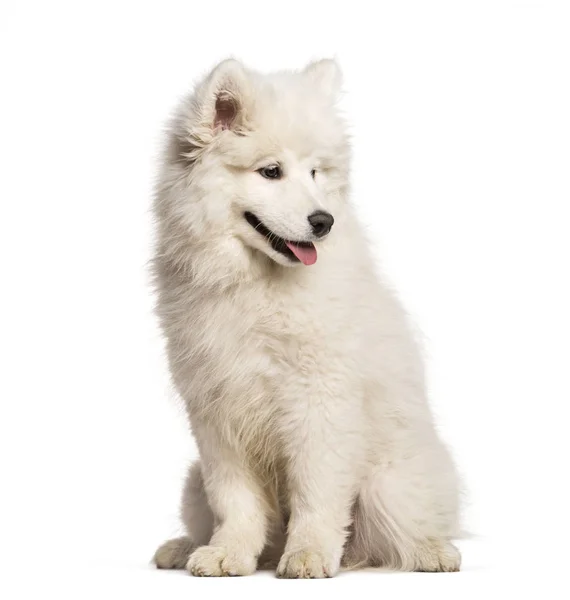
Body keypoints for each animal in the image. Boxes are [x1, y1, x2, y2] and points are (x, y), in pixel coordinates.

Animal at [152, 59, 462, 576]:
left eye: (316, 173)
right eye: (271, 172)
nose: (323, 222)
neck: (256, 283)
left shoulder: (318, 400)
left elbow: (317, 491)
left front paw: (309, 554)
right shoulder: (218, 410)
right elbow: (235, 500)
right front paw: (228, 553)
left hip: (388, 483)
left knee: (402, 532)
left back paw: (432, 552)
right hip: (193, 483)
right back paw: (181, 548)